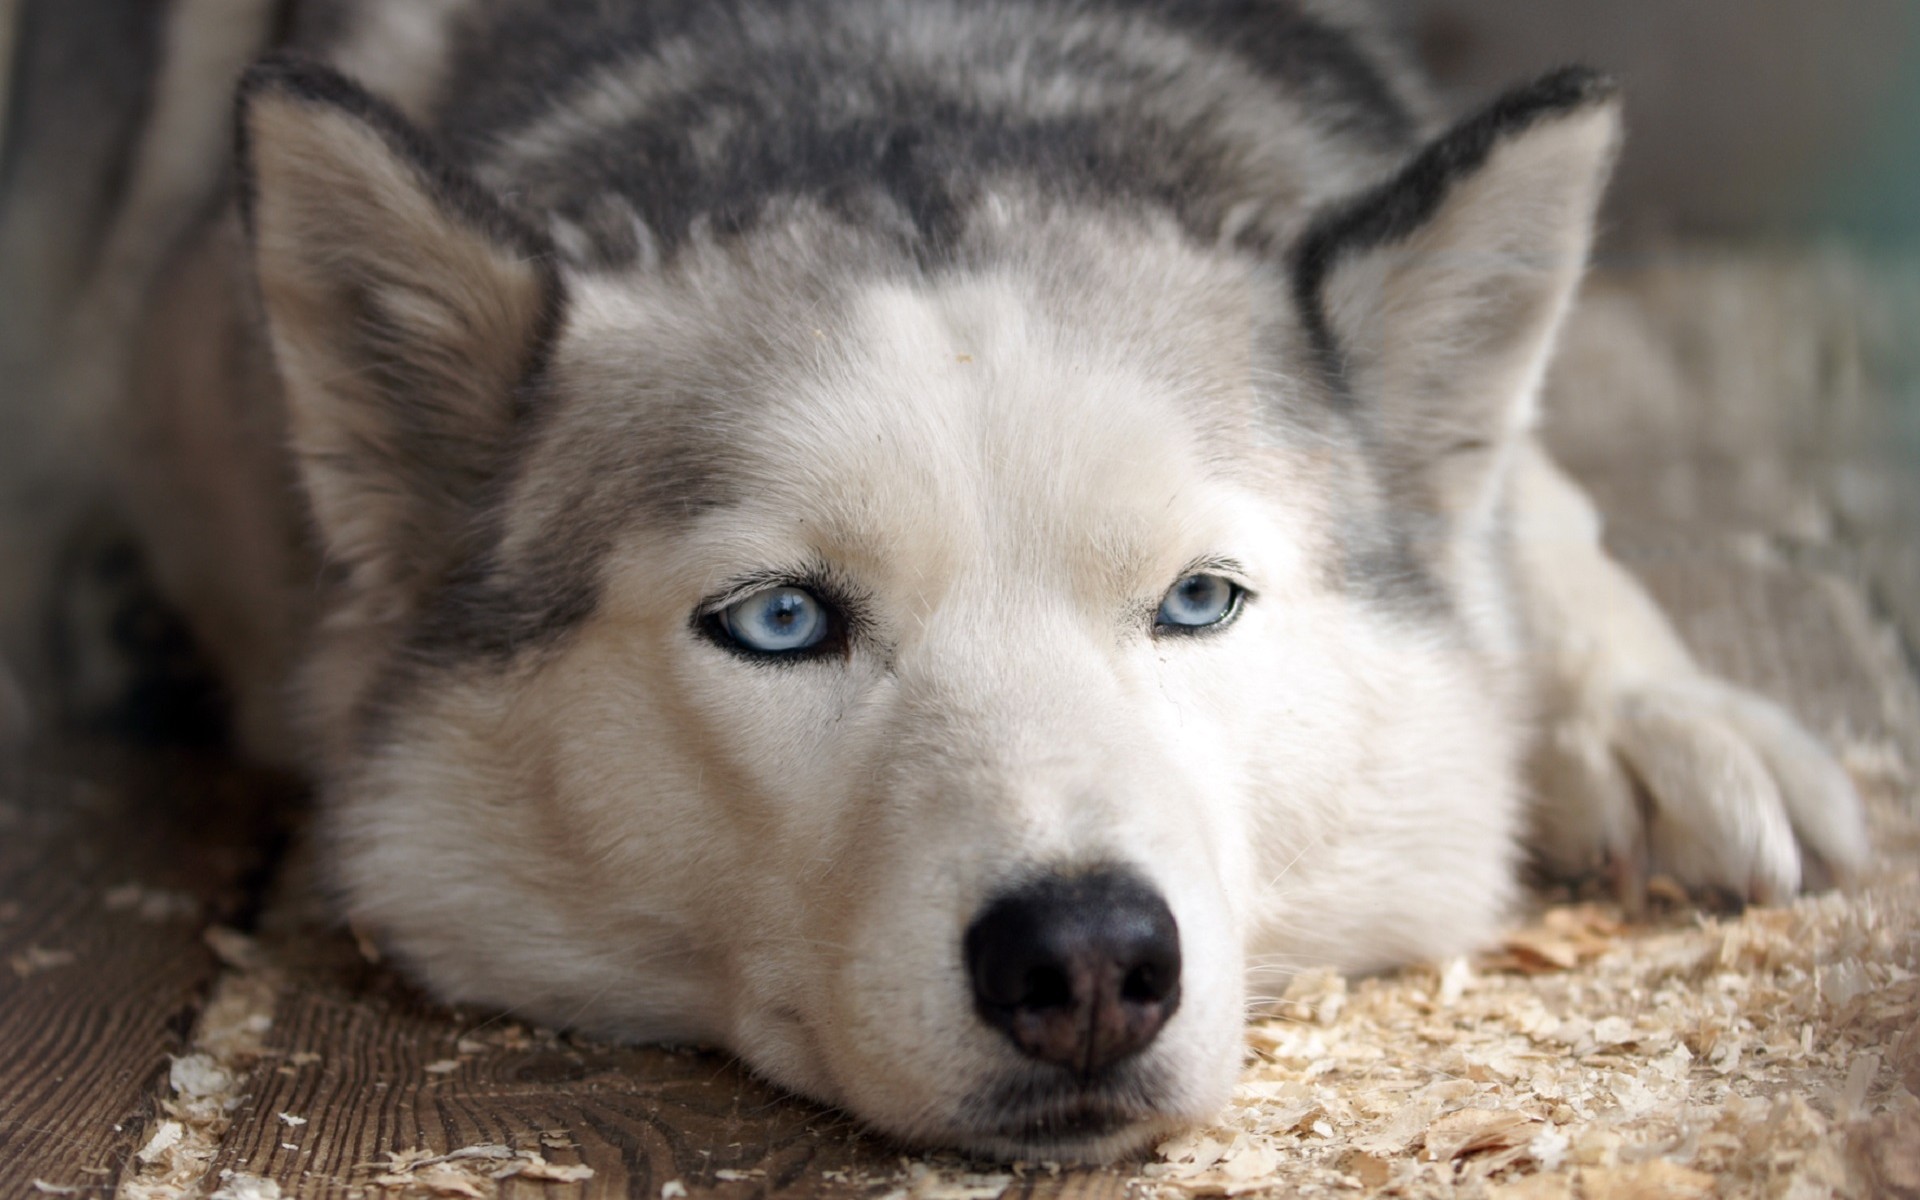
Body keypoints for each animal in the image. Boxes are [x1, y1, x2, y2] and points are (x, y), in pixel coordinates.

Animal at [3, 0, 1858, 1159]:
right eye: (779, 622)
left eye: (1199, 602)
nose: (1091, 963)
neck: (894, 73)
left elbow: (1530, 500)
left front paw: (1651, 712)